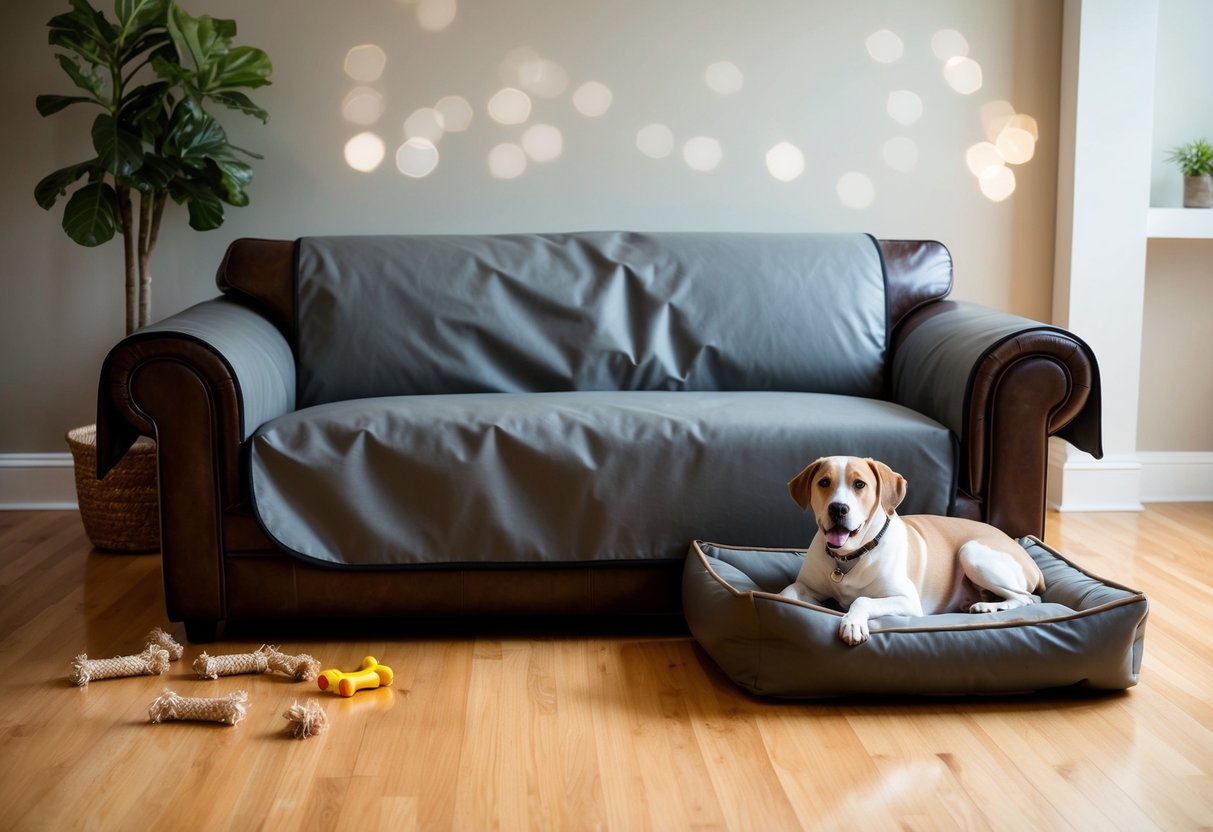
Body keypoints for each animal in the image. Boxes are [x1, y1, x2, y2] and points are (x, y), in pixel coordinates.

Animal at [781, 456, 1048, 645]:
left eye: (859, 484)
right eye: (824, 482)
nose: (838, 508)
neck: (849, 557)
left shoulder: (907, 601)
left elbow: (862, 599)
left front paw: (853, 623)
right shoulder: (809, 587)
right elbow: (788, 592)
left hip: (972, 553)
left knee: (1028, 598)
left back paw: (988, 607)